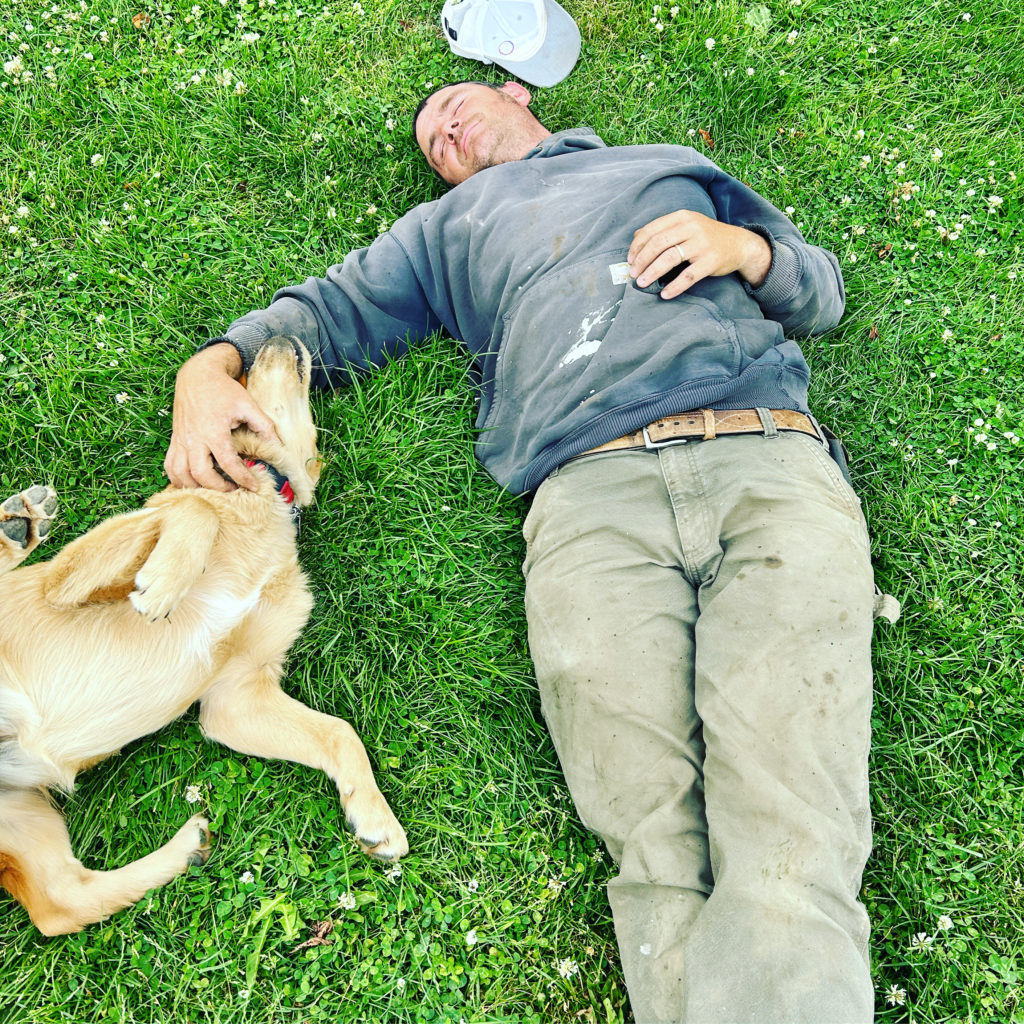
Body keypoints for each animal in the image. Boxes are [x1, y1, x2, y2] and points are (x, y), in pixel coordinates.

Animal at [0, 337, 407, 937]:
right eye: (239, 382)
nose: (275, 339)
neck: (263, 495)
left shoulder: (236, 698)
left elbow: (340, 732)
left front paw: (375, 817)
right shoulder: (65, 581)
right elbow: (192, 507)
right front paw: (166, 582)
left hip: (21, 816)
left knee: (61, 902)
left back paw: (185, 848)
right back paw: (21, 526)